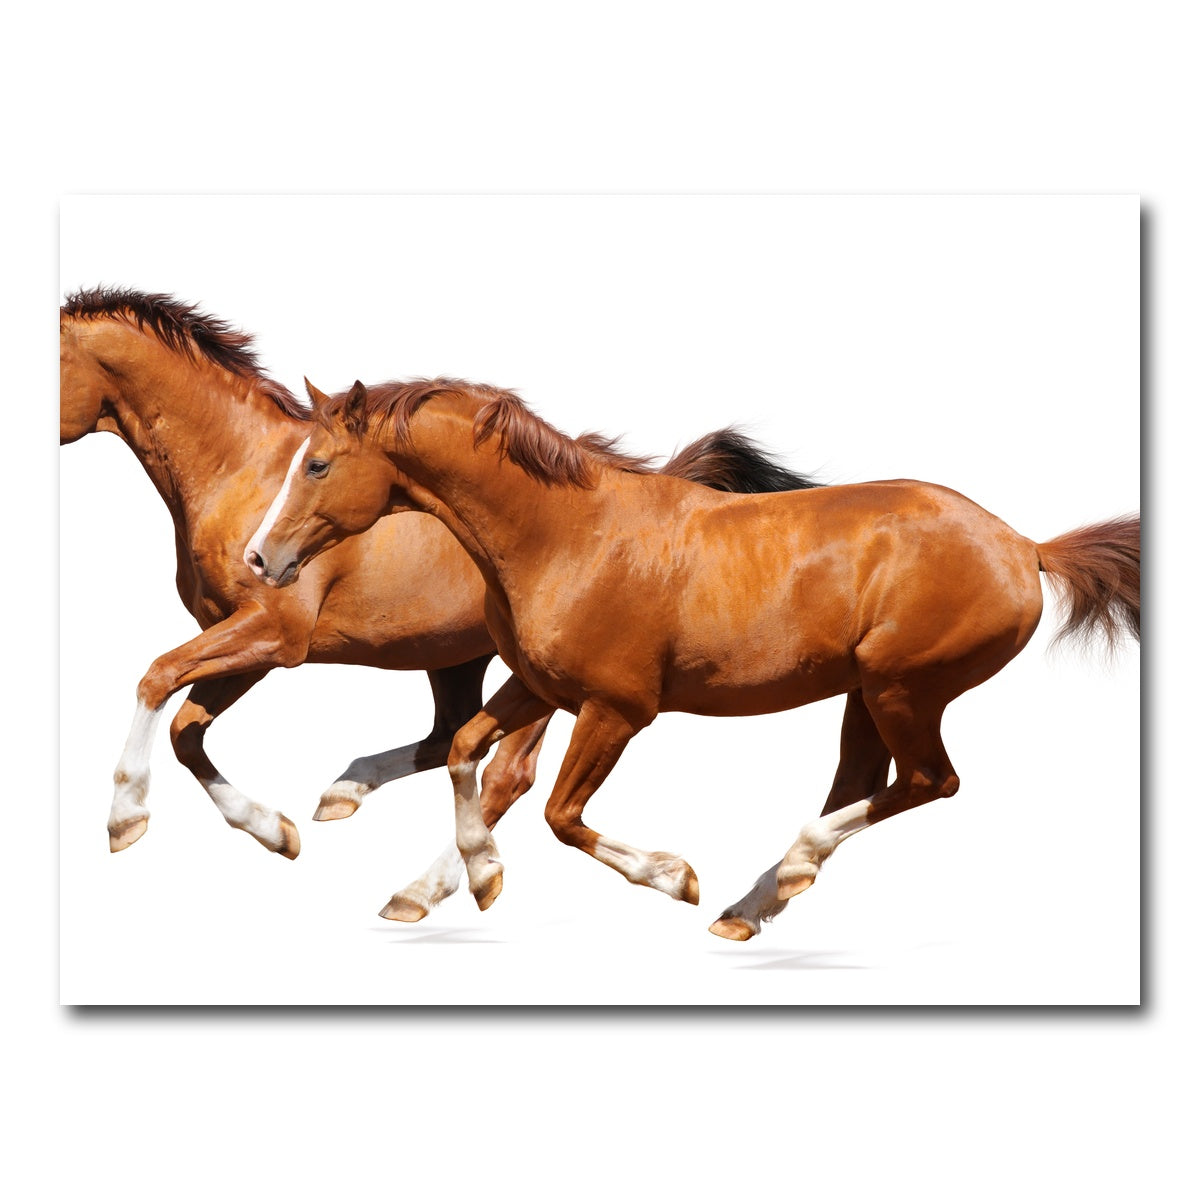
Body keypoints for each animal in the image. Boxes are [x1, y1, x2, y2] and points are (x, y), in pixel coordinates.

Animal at [61, 289, 813, 918]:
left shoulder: (274, 634)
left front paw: (125, 819)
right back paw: (357, 804)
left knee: (507, 774)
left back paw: (430, 885)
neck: (241, 470)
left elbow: (158, 678)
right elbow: (188, 729)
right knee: (448, 739)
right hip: (460, 662)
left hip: (547, 685)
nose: (261, 559)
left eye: (317, 466)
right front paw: (277, 833)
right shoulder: (248, 642)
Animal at [246, 376, 1140, 940]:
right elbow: (467, 751)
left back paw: (783, 873)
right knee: (866, 780)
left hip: (904, 689)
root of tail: (1024, 546)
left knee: (929, 782)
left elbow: (560, 815)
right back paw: (753, 904)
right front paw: (480, 876)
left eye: (317, 463)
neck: (564, 536)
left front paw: (673, 877)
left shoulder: (617, 709)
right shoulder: (540, 688)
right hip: (869, 692)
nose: (260, 558)